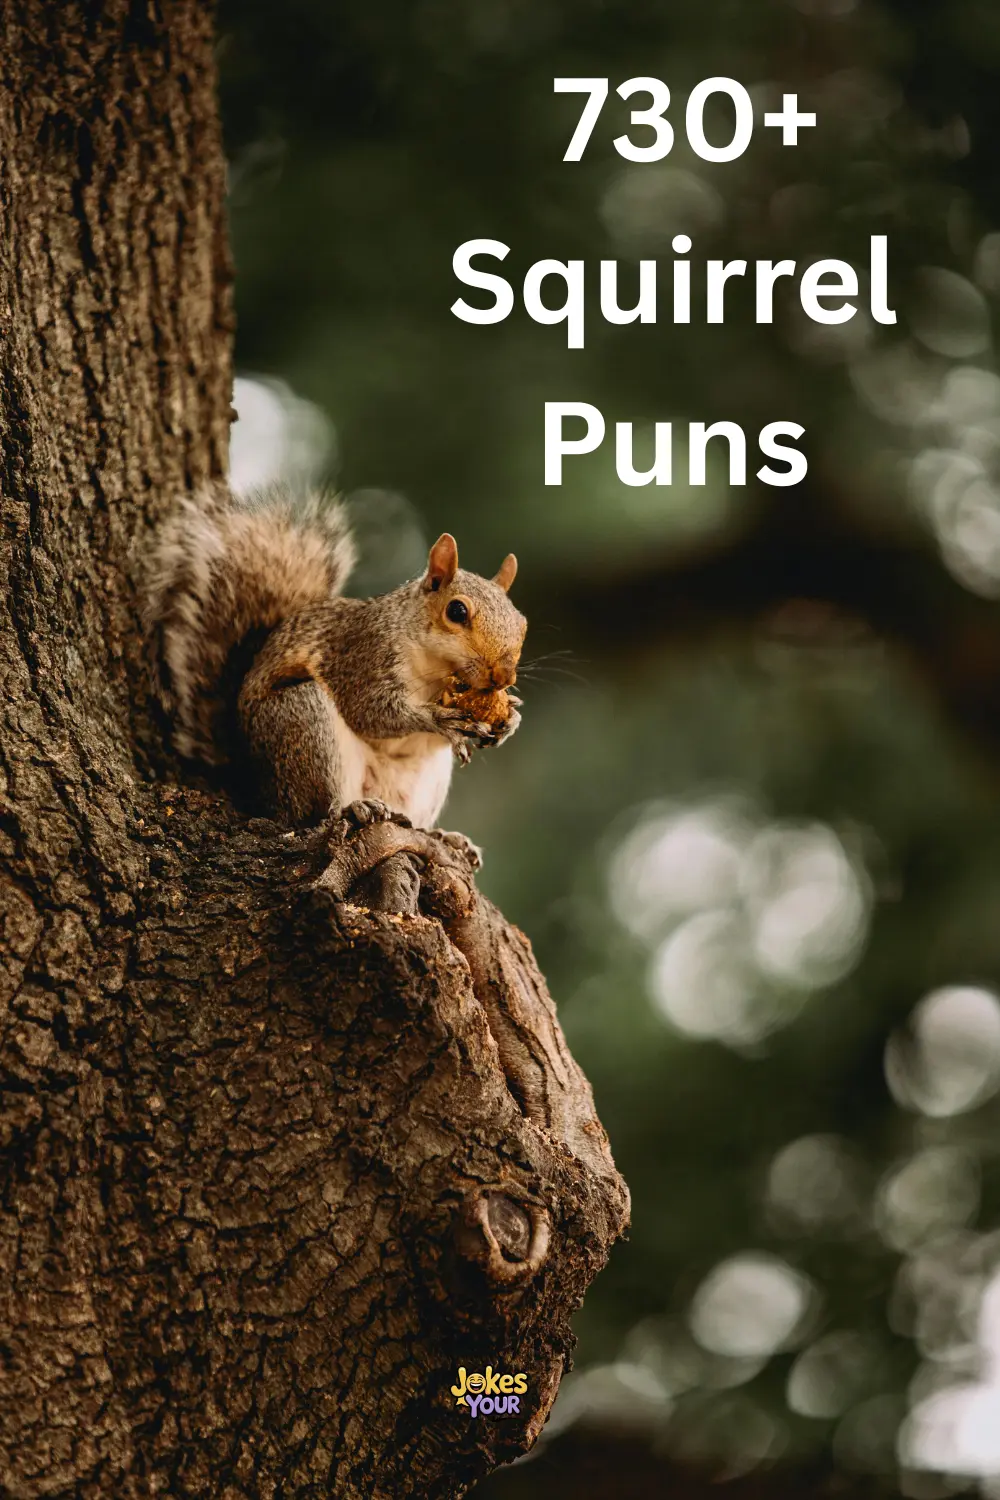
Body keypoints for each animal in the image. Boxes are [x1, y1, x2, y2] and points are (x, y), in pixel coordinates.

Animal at [144, 483, 527, 832]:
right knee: (310, 814)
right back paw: (351, 809)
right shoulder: (361, 656)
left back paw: (445, 838)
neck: (435, 669)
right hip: (302, 724)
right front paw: (438, 719)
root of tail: (254, 785)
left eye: (523, 622)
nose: (503, 676)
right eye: (457, 611)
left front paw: (511, 719)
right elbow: (371, 711)